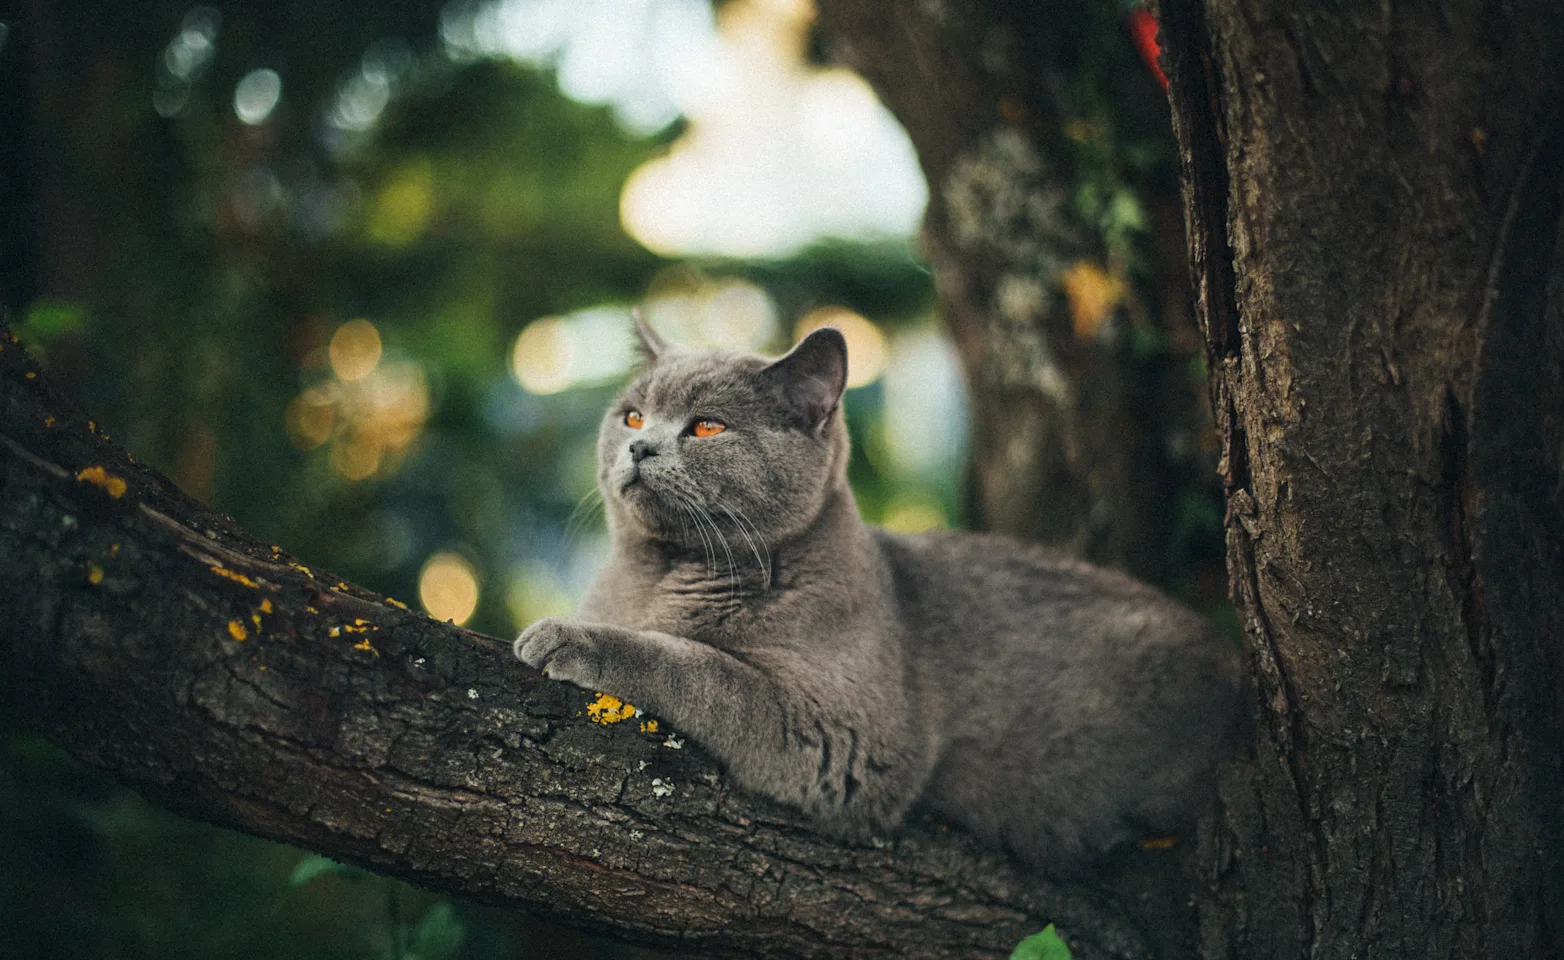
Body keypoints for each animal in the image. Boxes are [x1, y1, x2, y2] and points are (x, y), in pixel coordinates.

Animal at [512, 322, 1244, 875]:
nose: (639, 446)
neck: (659, 573)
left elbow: (699, 666)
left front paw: (564, 638)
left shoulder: (843, 736)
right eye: (632, 415)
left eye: (707, 428)